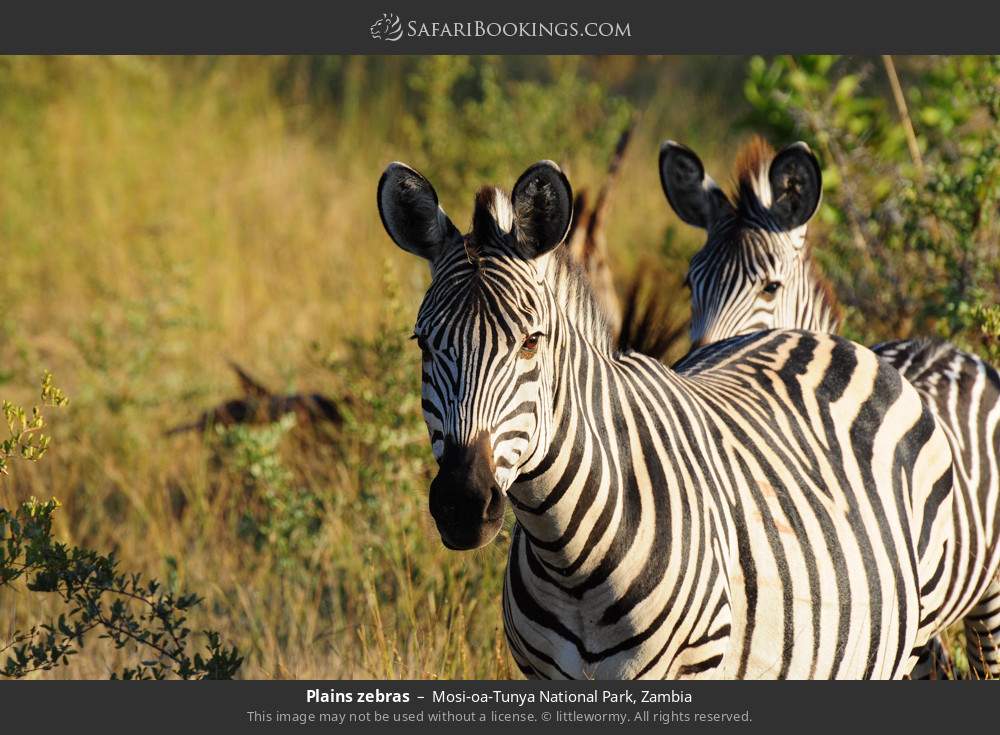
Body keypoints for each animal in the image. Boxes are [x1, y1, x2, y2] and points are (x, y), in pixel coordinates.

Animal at [378, 158, 956, 680]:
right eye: (423, 344)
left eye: (531, 343)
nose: (461, 505)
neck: (567, 556)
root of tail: (808, 334)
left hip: (912, 639)